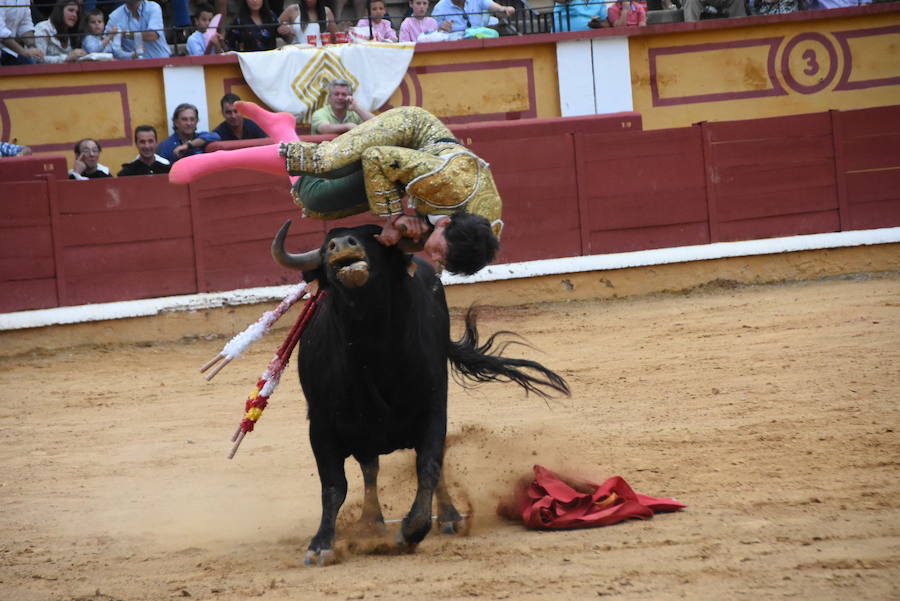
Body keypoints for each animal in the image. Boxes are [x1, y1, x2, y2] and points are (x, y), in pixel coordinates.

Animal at [274, 223, 568, 564]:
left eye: (374, 239)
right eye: (324, 249)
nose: (342, 244)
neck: (369, 347)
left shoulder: (432, 410)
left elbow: (427, 467)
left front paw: (412, 531)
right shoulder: (321, 426)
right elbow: (334, 485)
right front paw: (321, 544)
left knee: (429, 462)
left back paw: (449, 517)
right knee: (370, 469)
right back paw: (370, 522)